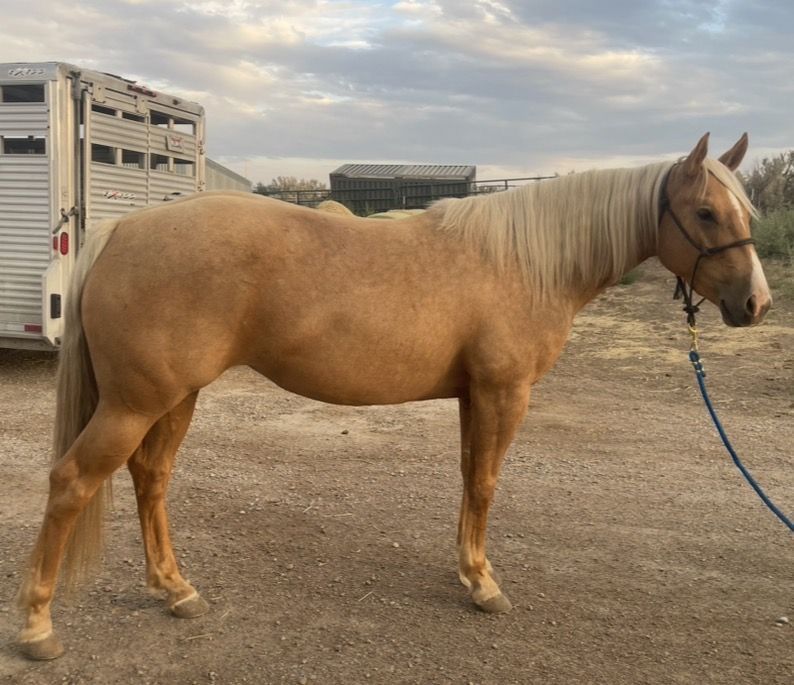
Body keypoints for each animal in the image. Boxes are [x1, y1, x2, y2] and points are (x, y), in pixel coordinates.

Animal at [16, 133, 771, 659]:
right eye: (706, 211)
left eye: (746, 211)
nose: (756, 304)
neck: (527, 261)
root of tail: (123, 229)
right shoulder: (503, 393)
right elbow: (487, 482)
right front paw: (485, 584)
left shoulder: (474, 395)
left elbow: (469, 478)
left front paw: (467, 570)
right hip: (135, 404)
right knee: (72, 482)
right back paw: (37, 625)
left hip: (174, 397)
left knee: (151, 477)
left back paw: (176, 590)